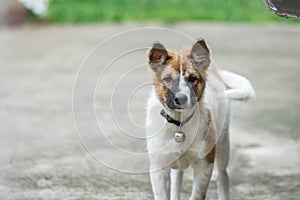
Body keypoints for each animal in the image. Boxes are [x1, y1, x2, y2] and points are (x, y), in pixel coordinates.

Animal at [146, 39, 254, 200]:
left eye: (192, 78)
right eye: (168, 79)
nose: (181, 99)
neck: (179, 124)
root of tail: (216, 75)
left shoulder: (205, 164)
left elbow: (197, 195)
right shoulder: (159, 168)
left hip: (223, 145)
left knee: (222, 176)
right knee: (177, 179)